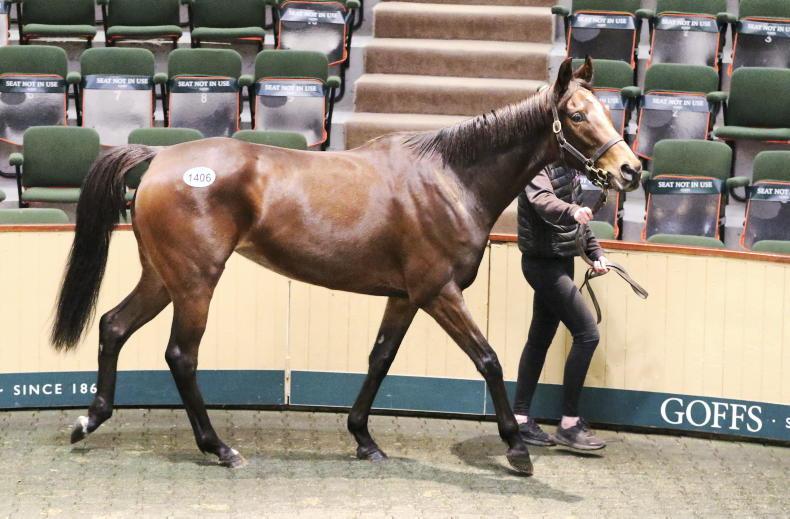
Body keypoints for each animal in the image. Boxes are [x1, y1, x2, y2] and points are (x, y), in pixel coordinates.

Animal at [51, 57, 641, 476]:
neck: (449, 179)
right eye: (577, 115)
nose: (630, 170)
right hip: (195, 283)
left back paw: (90, 419)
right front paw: (517, 447)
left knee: (113, 326)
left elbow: (379, 359)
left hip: (163, 278)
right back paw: (219, 447)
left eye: (608, 111)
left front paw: (363, 437)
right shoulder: (440, 292)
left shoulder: (404, 297)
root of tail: (159, 159)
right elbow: (489, 360)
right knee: (181, 356)